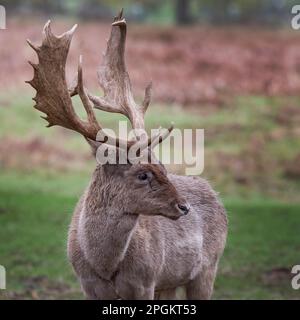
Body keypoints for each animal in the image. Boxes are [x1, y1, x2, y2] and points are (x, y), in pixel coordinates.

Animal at [27, 10, 227, 300]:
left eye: (163, 167)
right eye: (142, 174)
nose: (184, 206)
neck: (104, 265)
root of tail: (214, 192)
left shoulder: (145, 281)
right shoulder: (88, 284)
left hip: (208, 267)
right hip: (170, 283)